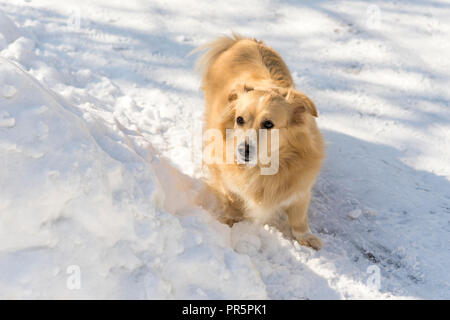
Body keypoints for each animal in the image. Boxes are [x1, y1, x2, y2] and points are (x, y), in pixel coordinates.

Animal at [193, 34, 324, 250]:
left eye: (268, 124)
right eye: (239, 120)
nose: (242, 151)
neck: (261, 168)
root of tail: (243, 40)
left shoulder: (301, 187)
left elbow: (299, 215)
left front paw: (305, 236)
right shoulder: (226, 177)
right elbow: (233, 200)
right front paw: (232, 220)